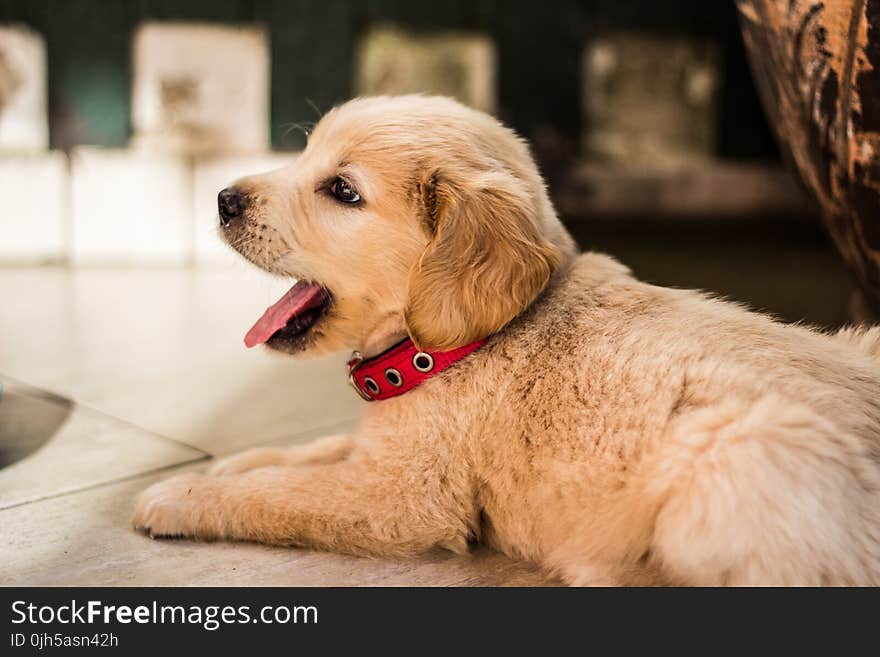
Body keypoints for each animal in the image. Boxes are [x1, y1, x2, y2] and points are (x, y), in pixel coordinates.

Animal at [131, 93, 880, 584]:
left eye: (342, 190)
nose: (223, 198)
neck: (449, 347)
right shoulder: (387, 446)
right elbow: (310, 451)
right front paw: (234, 462)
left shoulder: (401, 497)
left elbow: (282, 495)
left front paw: (179, 495)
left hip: (737, 450)